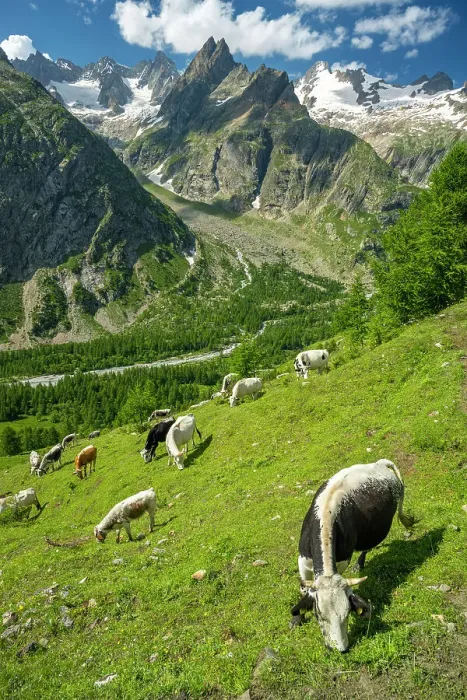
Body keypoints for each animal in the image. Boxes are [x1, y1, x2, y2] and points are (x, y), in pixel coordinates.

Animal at [291, 459, 414, 652]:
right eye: (319, 616)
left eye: (347, 614)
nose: (340, 650)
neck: (326, 514)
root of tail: (380, 463)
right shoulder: (303, 560)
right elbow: (303, 589)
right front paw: (297, 619)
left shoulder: (342, 561)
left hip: (376, 530)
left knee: (367, 546)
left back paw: (360, 563)